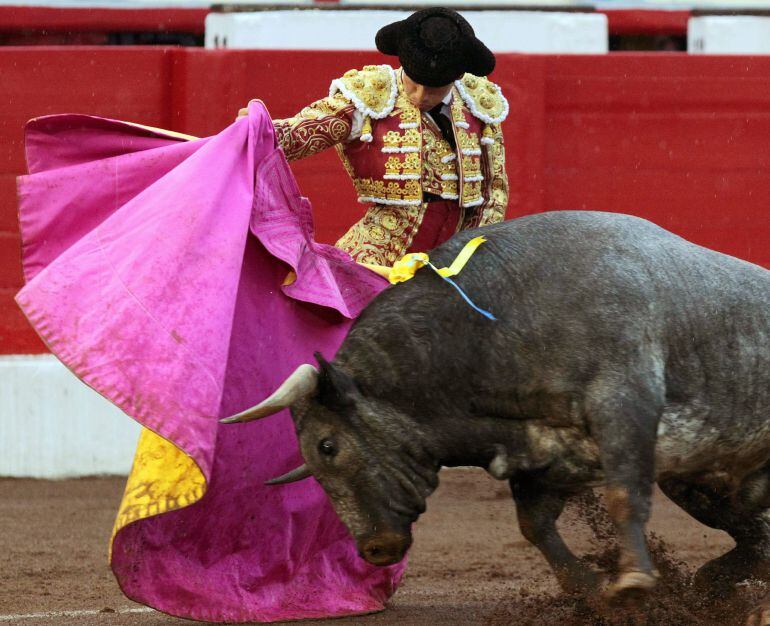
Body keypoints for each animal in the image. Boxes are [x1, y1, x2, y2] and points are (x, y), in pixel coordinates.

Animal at [222, 211, 768, 620]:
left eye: (328, 446)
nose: (373, 550)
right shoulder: (545, 455)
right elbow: (535, 526)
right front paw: (594, 589)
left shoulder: (625, 403)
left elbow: (622, 494)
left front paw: (631, 583)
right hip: (705, 478)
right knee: (751, 529)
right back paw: (718, 587)